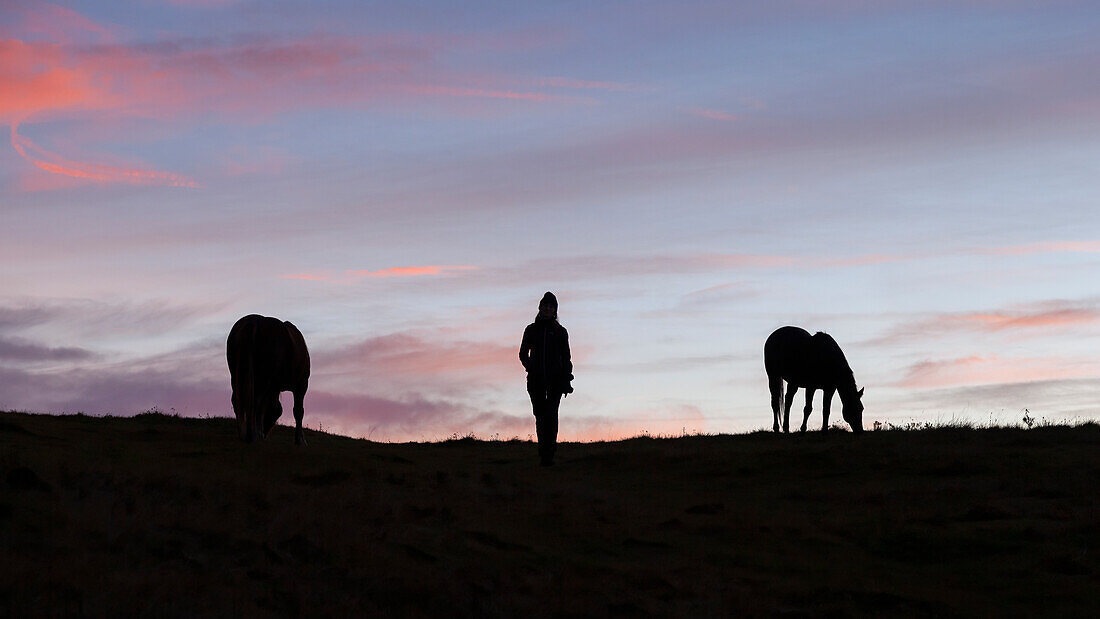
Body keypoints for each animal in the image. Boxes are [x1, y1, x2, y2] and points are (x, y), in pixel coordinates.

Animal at [224, 314, 308, 446]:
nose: (265, 433)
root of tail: (254, 322)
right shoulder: (302, 384)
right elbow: (298, 411)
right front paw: (300, 440)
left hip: (237, 376)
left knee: (237, 400)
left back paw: (244, 434)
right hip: (262, 379)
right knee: (255, 401)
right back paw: (252, 435)